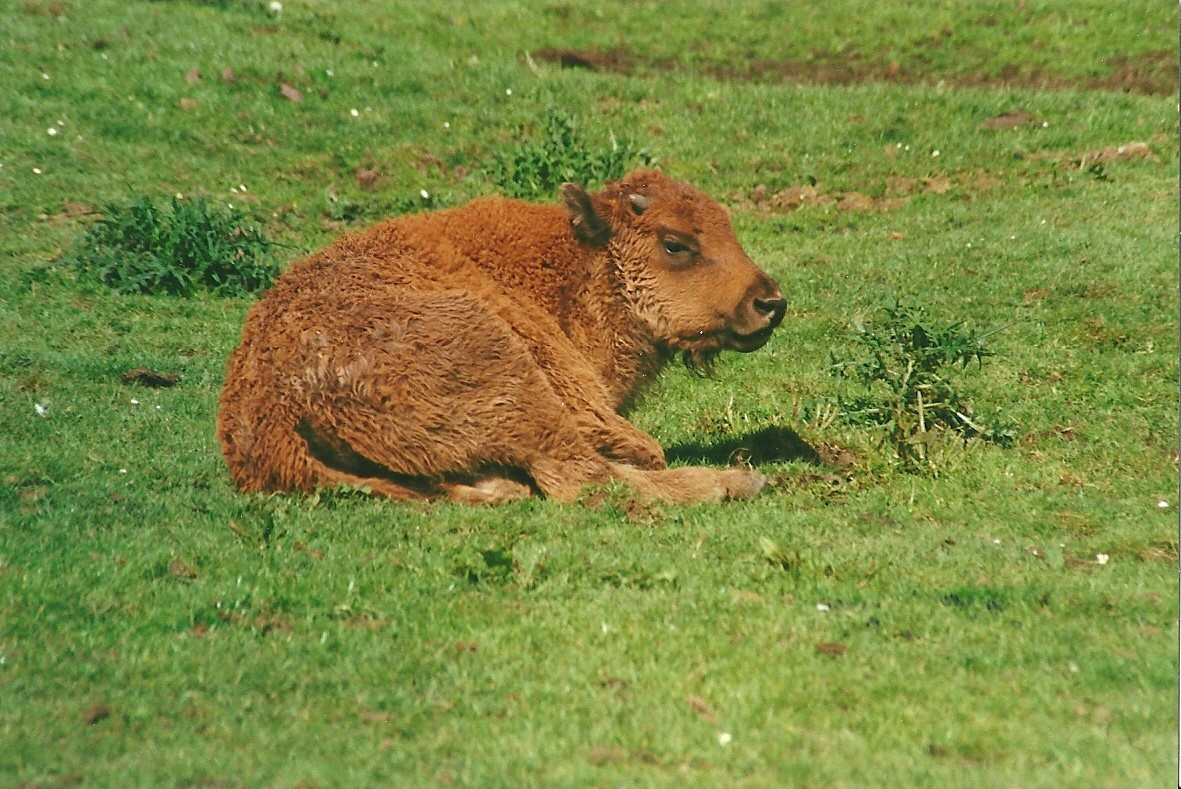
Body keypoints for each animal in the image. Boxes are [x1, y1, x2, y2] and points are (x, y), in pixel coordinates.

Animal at [217, 169, 787, 504]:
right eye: (675, 243)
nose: (771, 303)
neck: (579, 266)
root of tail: (269, 411)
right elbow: (640, 451)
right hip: (508, 375)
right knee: (583, 476)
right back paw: (738, 482)